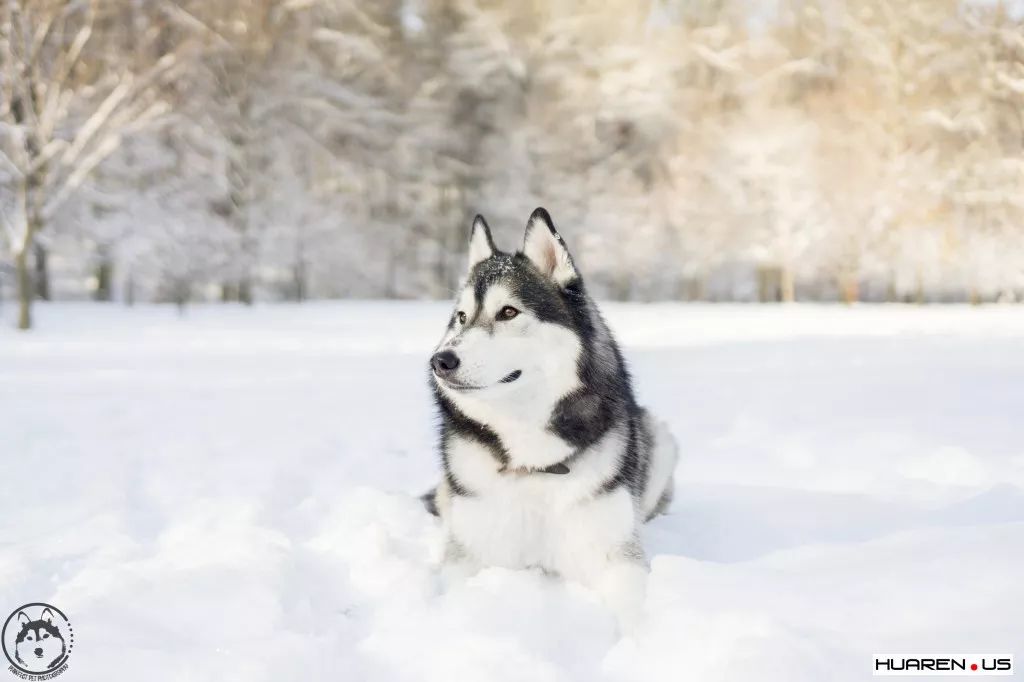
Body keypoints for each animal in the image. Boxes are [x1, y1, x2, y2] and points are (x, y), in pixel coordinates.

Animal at [425, 205, 679, 614]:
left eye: (508, 312)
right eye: (461, 318)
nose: (440, 361)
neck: (534, 465)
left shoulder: (616, 556)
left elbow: (633, 610)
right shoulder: (472, 553)